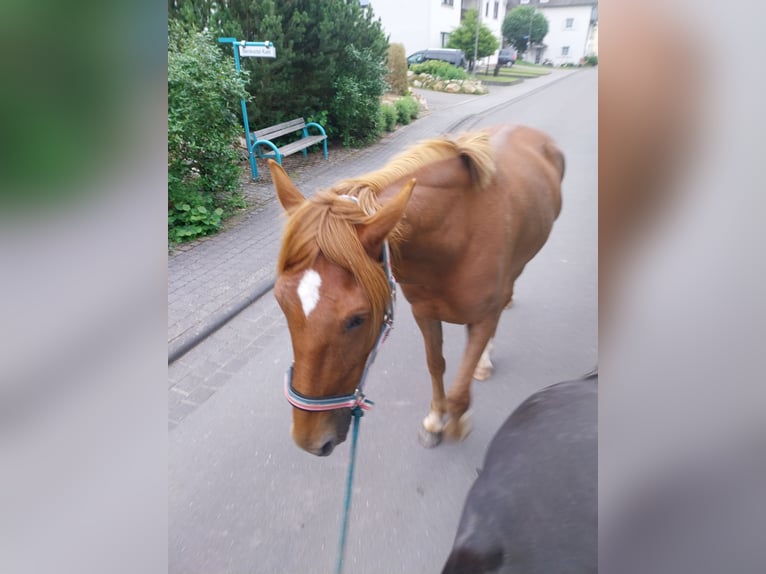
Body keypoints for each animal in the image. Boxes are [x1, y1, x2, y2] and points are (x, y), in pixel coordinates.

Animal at [272, 126, 564, 460]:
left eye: (357, 319)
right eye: (281, 302)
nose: (309, 441)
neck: (459, 233)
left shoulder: (481, 319)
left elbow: (460, 388)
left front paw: (457, 422)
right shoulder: (424, 313)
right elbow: (435, 364)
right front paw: (436, 419)